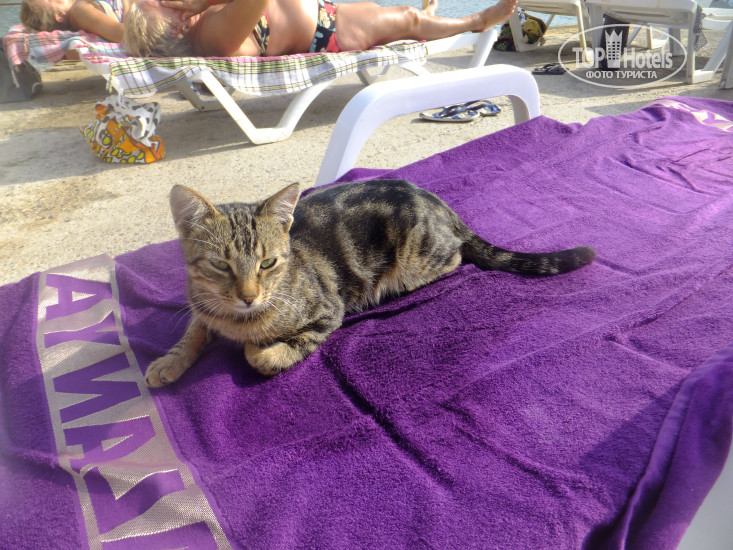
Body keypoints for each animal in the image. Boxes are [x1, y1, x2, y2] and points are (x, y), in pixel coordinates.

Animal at [145, 179, 596, 387]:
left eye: (267, 262)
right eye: (220, 265)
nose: (248, 297)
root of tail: (441, 206)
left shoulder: (329, 311)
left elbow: (262, 354)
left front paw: (260, 347)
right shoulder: (201, 306)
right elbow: (193, 331)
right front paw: (169, 362)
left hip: (418, 254)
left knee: (455, 257)